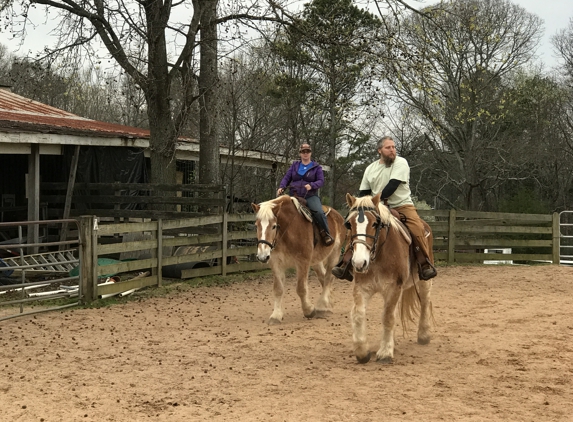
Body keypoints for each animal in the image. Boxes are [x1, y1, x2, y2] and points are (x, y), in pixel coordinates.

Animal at [250, 196, 344, 324]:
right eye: (256, 225)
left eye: (274, 226)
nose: (262, 256)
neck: (287, 231)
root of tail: (338, 216)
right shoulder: (276, 263)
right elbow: (278, 289)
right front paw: (276, 316)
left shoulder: (303, 262)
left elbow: (301, 288)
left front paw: (309, 310)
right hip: (316, 261)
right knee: (323, 277)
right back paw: (328, 304)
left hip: (334, 254)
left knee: (328, 277)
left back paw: (322, 307)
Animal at [342, 193, 432, 364]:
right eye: (349, 224)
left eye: (375, 223)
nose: (359, 262)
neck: (379, 254)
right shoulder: (362, 288)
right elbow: (358, 314)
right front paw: (362, 352)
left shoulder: (393, 287)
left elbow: (388, 317)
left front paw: (385, 353)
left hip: (424, 281)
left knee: (425, 301)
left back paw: (424, 335)